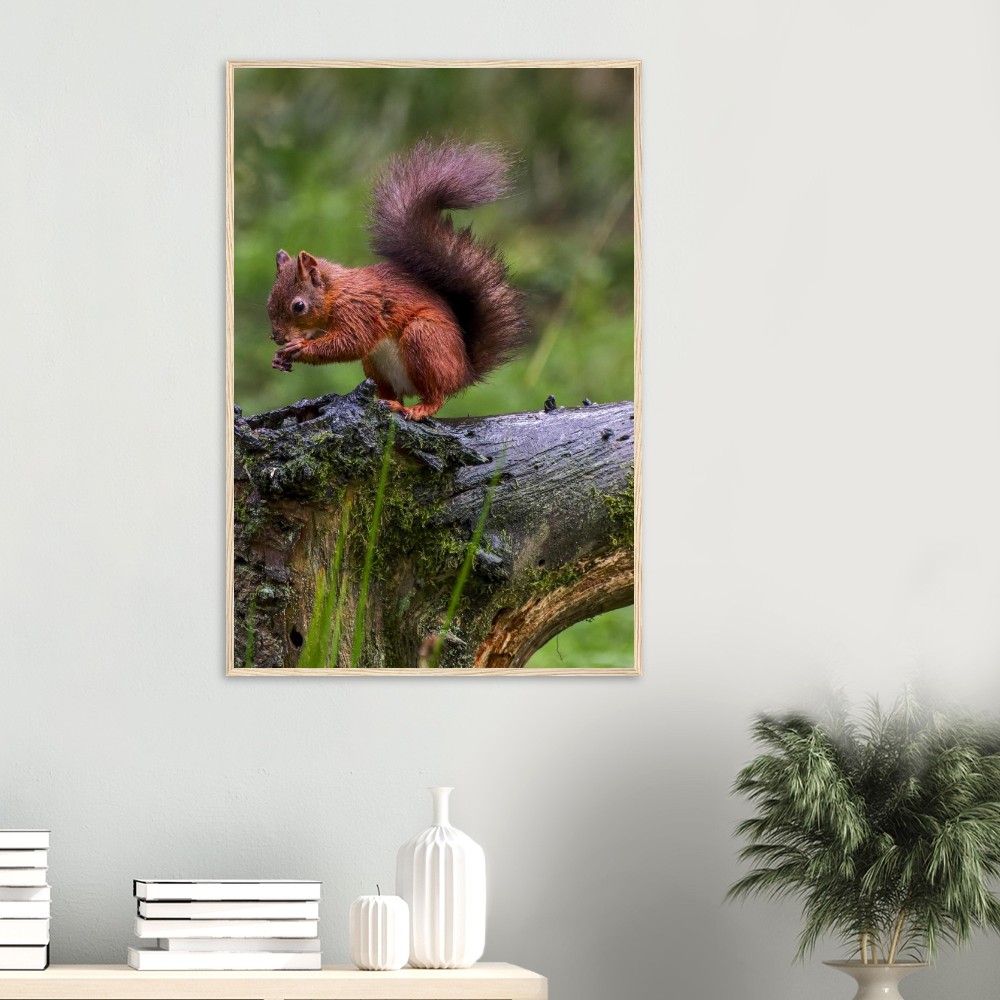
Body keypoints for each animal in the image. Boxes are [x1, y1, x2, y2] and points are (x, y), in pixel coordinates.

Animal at [267, 141, 528, 421]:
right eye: (269, 301)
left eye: (298, 306)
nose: (278, 337)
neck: (335, 292)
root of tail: (463, 373)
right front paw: (279, 358)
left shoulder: (360, 309)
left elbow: (351, 342)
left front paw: (300, 347)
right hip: (375, 365)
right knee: (390, 391)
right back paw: (387, 401)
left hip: (425, 340)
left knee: (436, 394)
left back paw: (419, 408)